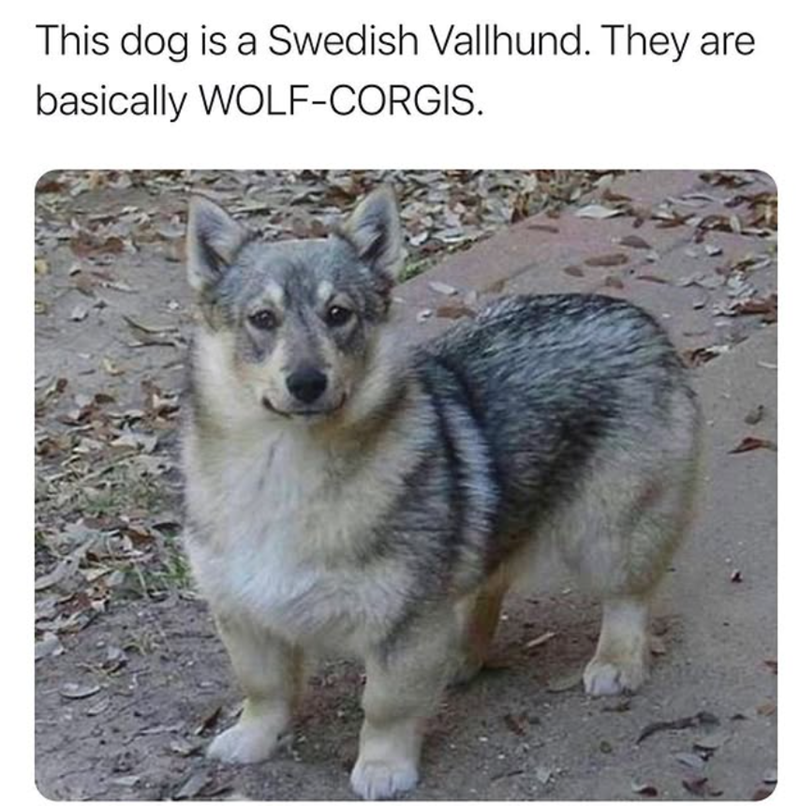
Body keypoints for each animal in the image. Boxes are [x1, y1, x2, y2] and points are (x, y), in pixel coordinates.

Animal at [181, 185, 701, 799]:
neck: (284, 464)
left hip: (609, 534)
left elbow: (384, 705)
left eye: (339, 314)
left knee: (626, 598)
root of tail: (635, 316)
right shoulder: (243, 613)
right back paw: (461, 654)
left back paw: (617, 660)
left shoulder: (402, 623)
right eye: (263, 319)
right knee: (487, 587)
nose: (307, 383)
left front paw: (383, 766)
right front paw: (255, 736)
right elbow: (264, 688)